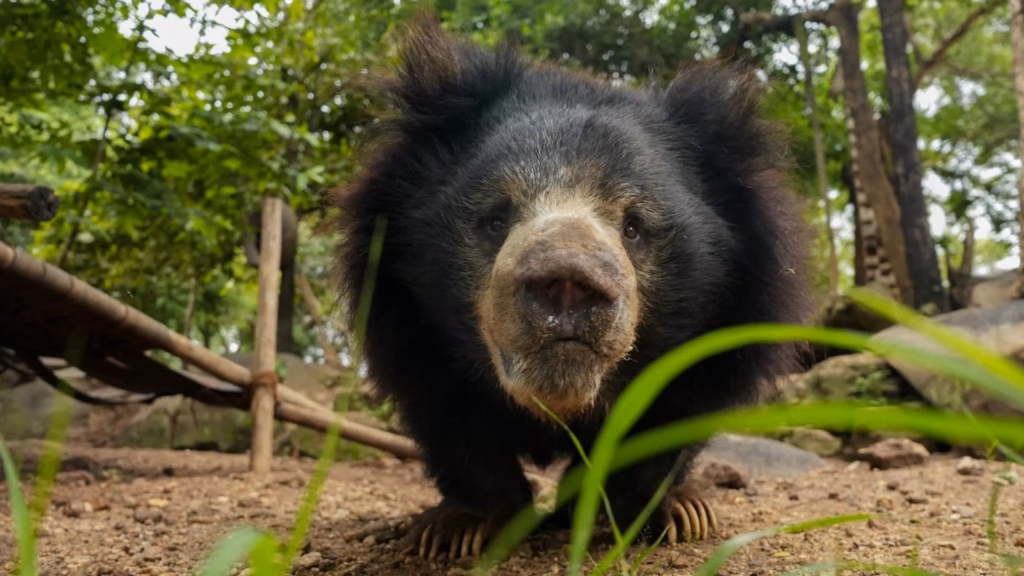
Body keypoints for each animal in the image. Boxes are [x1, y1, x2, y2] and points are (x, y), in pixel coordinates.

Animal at [332, 14, 813, 561]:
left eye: (634, 227)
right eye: (496, 218)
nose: (567, 284)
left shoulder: (728, 323)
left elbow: (669, 412)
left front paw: (665, 514)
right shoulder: (405, 315)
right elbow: (449, 414)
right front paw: (459, 526)